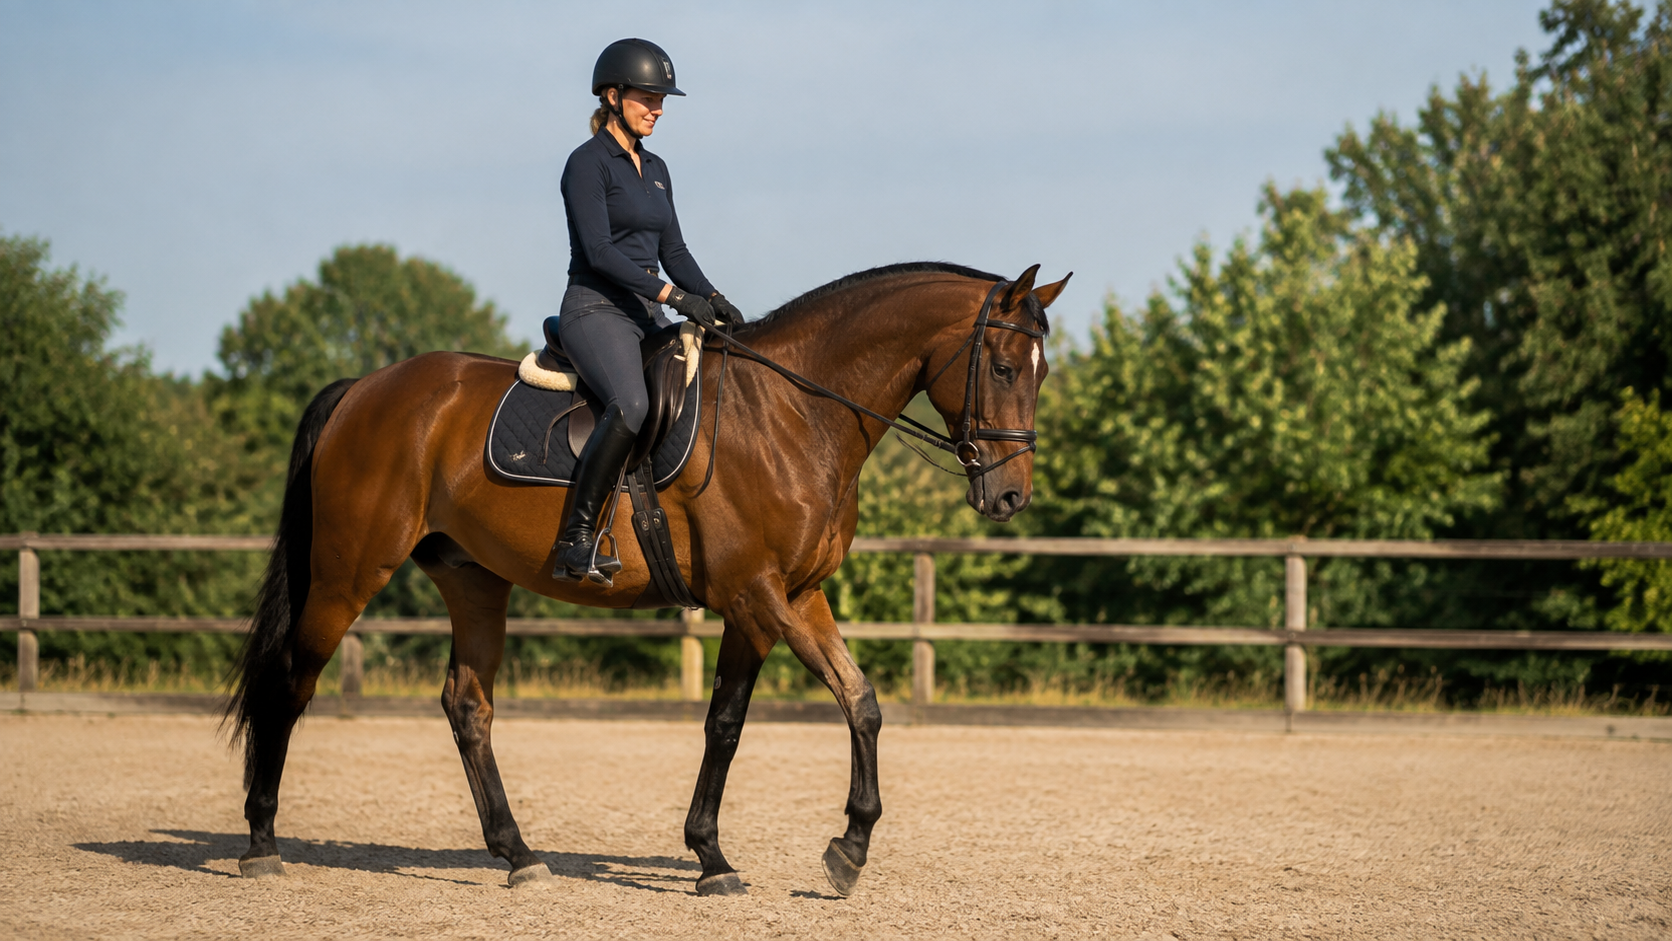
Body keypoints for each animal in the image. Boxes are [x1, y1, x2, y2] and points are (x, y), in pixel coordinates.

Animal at [226, 261, 1069, 896]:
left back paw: (519, 854)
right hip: (347, 573)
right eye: (1001, 366)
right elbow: (730, 724)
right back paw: (261, 840)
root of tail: (365, 387)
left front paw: (847, 849)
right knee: (292, 681)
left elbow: (856, 702)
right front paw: (715, 856)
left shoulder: (797, 595)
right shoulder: (754, 595)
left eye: (1040, 372)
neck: (794, 410)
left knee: (467, 705)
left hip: (475, 580)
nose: (1010, 495)